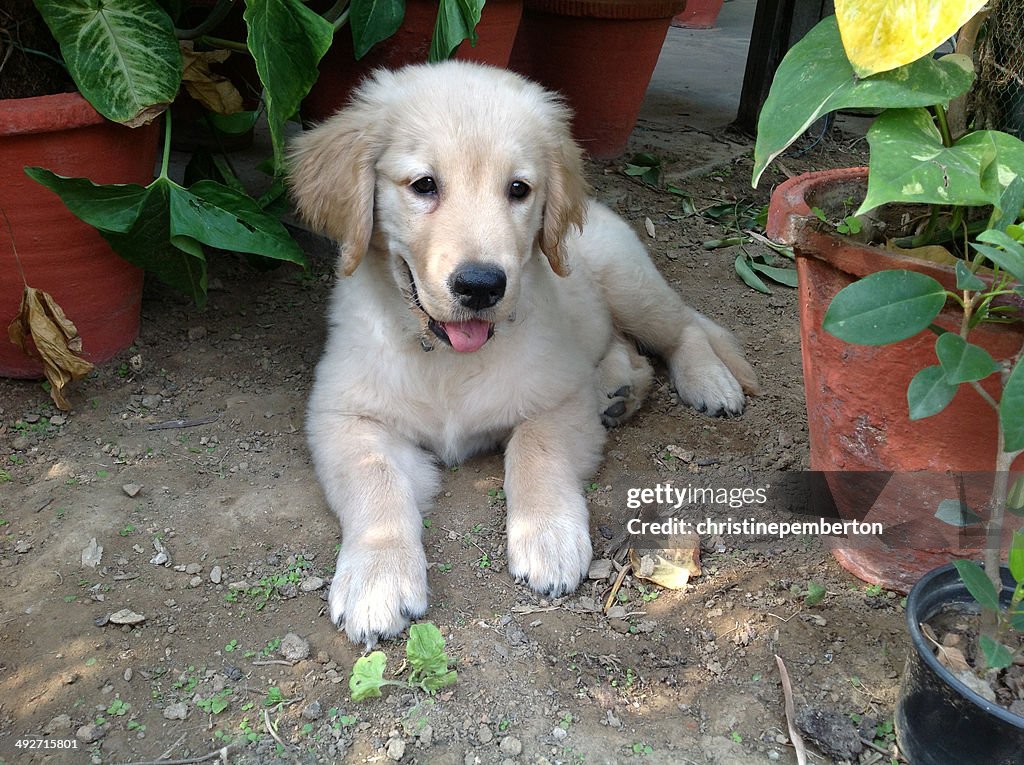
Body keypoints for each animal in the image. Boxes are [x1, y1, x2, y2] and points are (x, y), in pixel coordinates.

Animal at [292, 61, 757, 647]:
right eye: (424, 185)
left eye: (518, 189)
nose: (481, 285)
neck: (445, 359)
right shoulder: (343, 416)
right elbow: (374, 480)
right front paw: (376, 579)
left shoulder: (557, 396)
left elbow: (536, 450)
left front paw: (549, 538)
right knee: (627, 350)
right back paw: (618, 393)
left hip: (629, 282)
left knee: (684, 328)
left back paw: (709, 382)